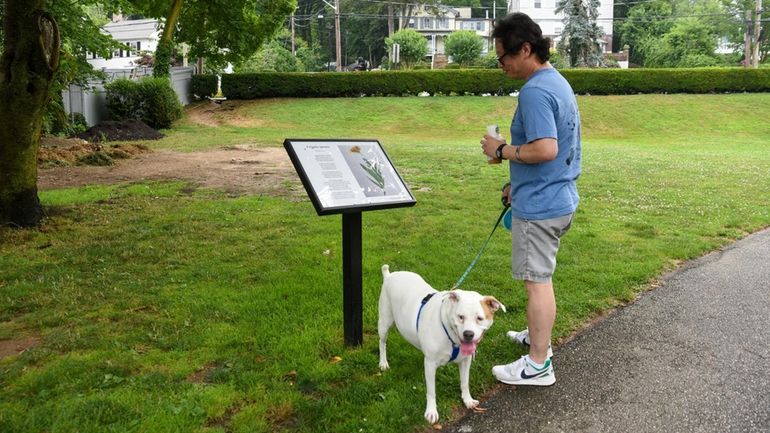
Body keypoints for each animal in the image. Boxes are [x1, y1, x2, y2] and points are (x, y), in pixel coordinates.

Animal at [376, 264, 504, 422]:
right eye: (460, 317)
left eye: (479, 318)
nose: (468, 334)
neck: (451, 336)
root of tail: (390, 275)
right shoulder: (430, 364)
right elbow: (431, 391)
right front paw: (431, 411)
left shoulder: (465, 361)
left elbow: (464, 382)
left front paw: (467, 400)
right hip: (384, 322)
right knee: (382, 343)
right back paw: (383, 363)